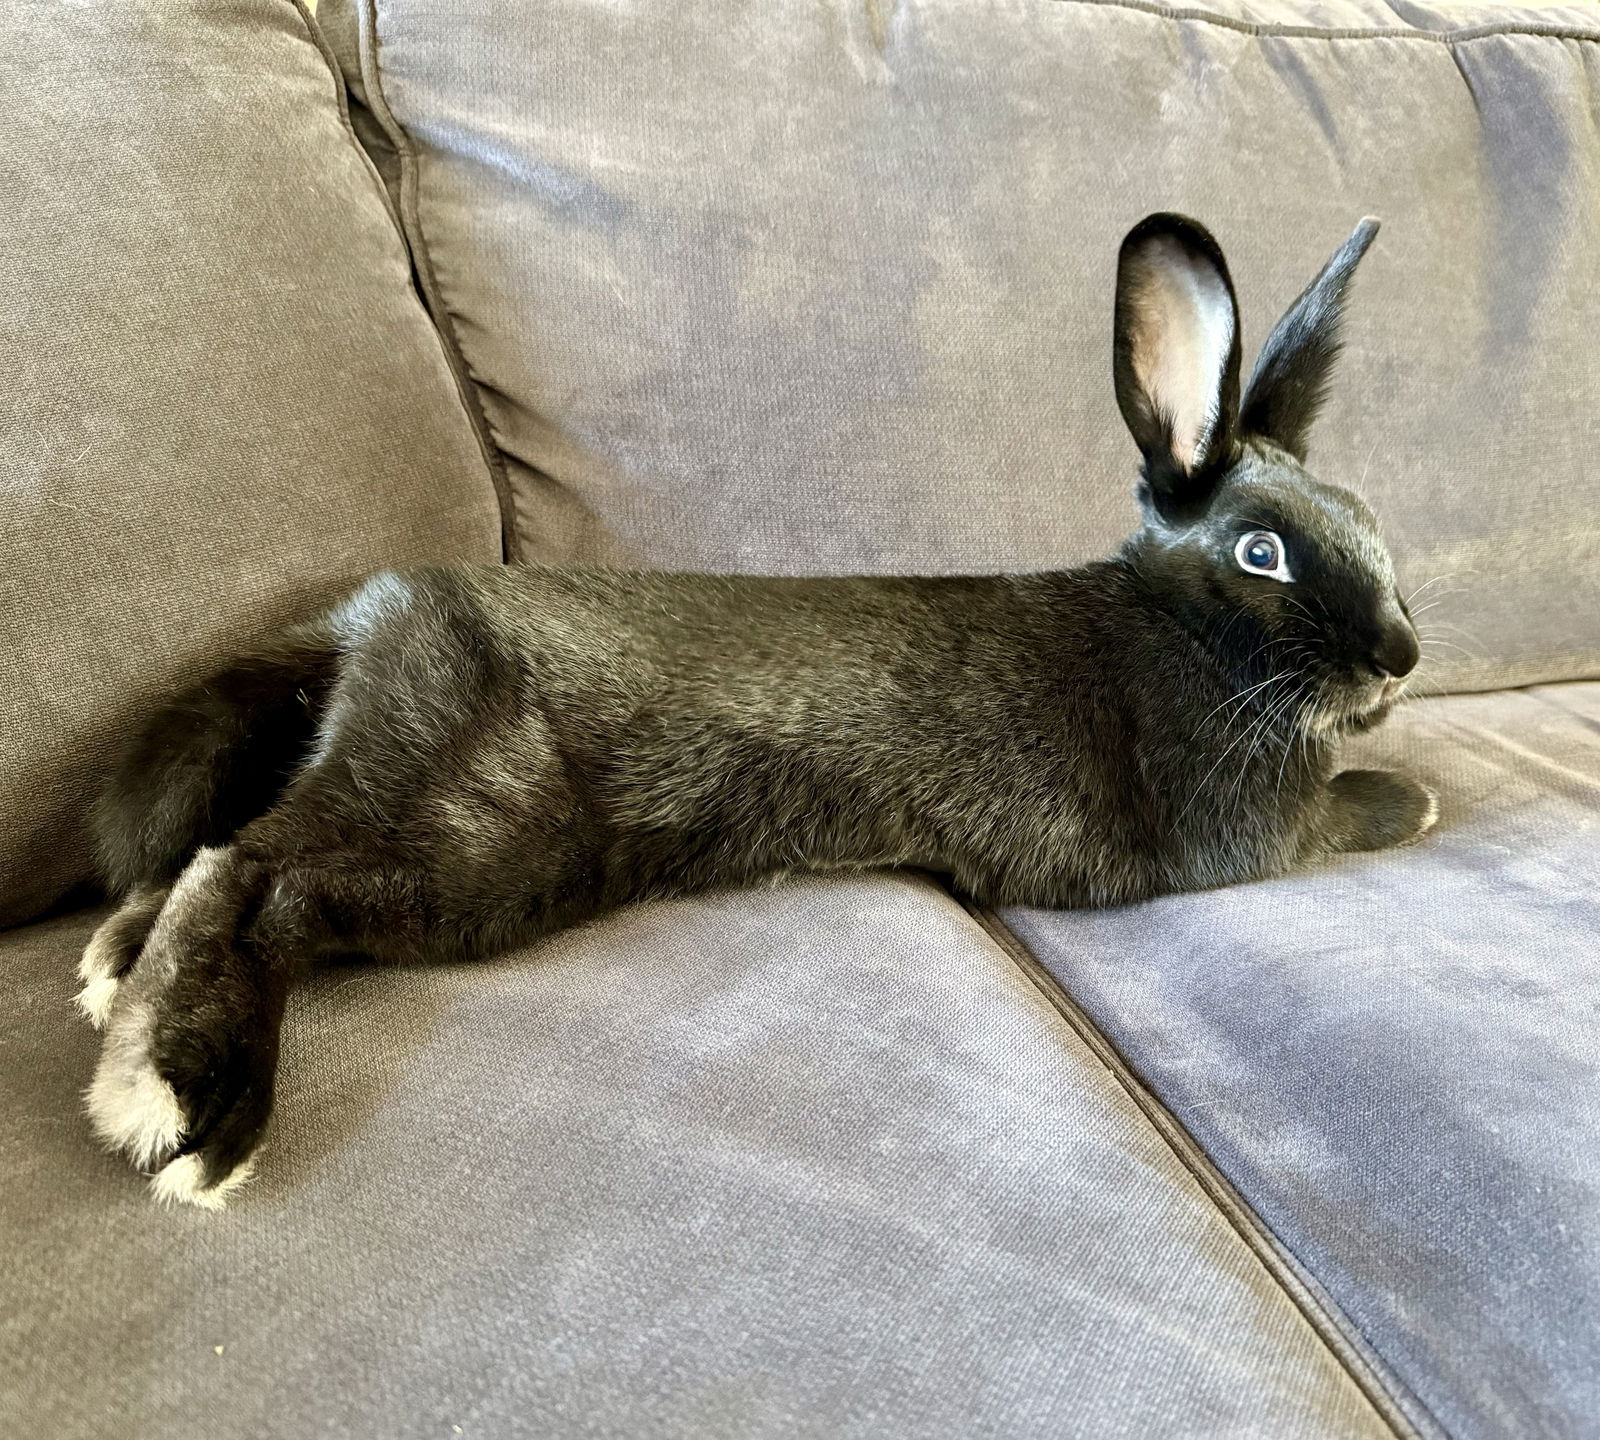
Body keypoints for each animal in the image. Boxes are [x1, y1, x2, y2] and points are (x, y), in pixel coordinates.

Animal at [79, 213, 1435, 1208]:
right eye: (1261, 552)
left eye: (1371, 523)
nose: (1401, 656)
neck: (1180, 627)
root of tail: (376, 614)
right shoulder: (1239, 830)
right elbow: (1341, 814)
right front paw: (1414, 799)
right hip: (471, 832)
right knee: (256, 878)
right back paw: (188, 1110)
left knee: (217, 857)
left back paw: (110, 973)